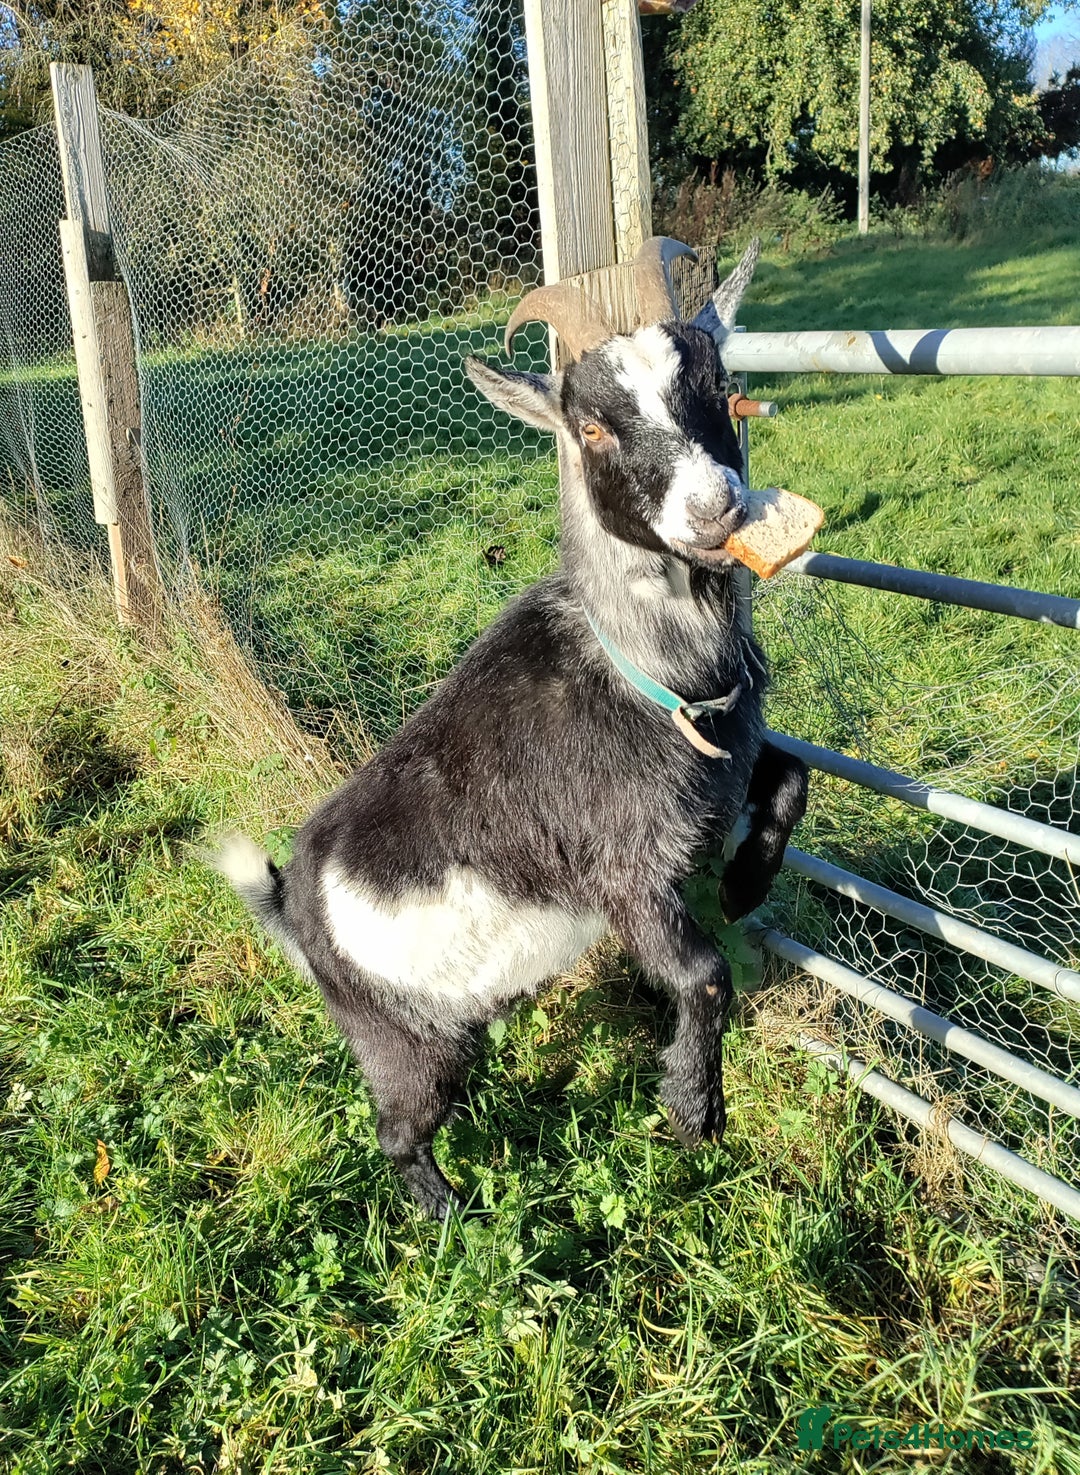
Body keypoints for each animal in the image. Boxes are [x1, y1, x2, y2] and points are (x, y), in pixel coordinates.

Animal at [218, 237, 808, 1218]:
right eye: (592, 427)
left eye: (725, 387)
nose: (714, 507)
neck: (646, 671)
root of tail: (290, 903)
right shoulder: (624, 871)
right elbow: (702, 974)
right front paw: (695, 1109)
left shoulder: (721, 768)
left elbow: (791, 778)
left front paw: (742, 887)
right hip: (402, 1043)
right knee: (397, 1132)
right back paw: (456, 1216)